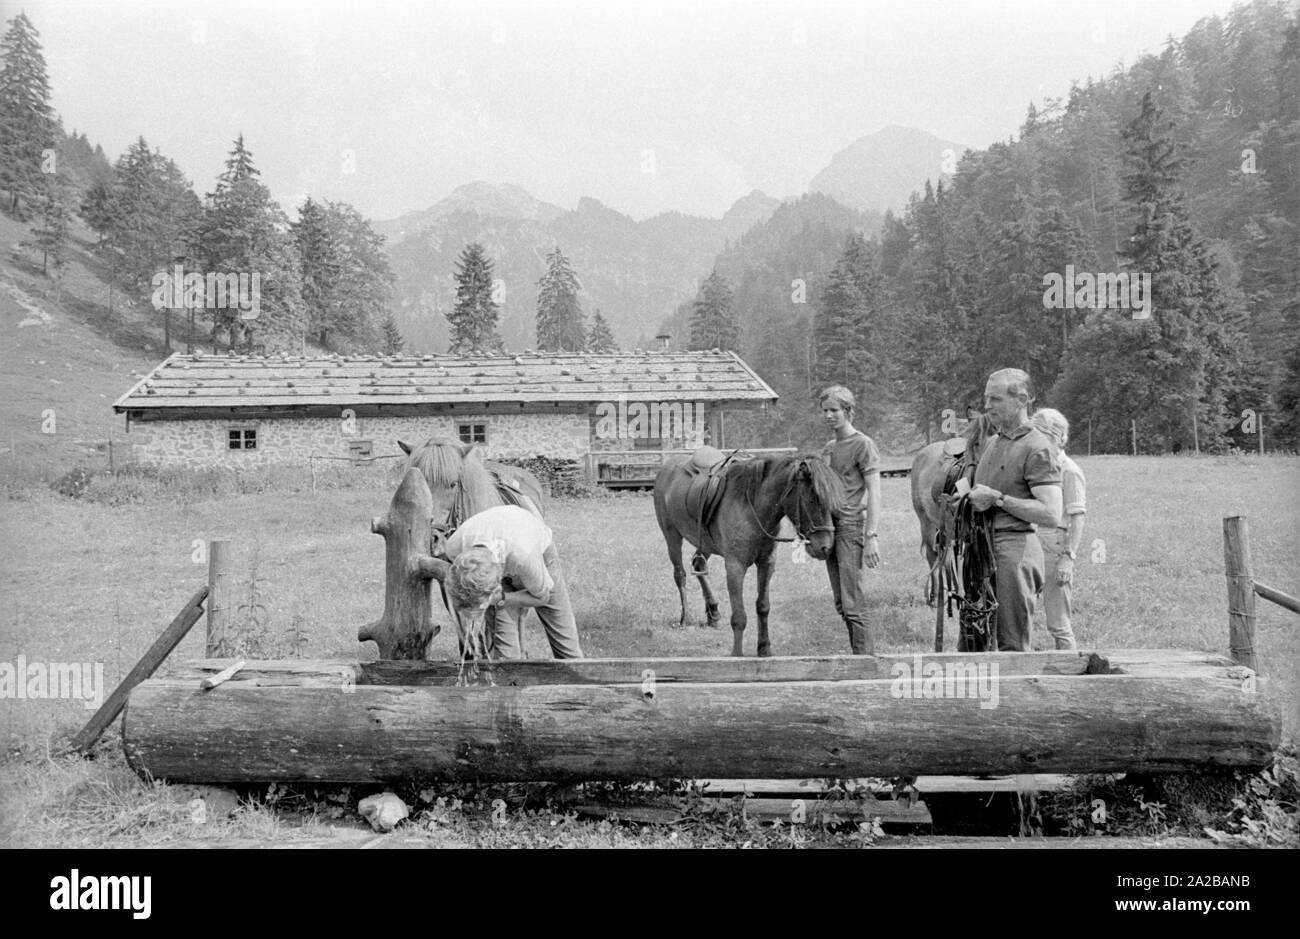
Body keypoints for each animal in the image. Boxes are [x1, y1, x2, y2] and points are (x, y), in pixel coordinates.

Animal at [650, 449, 842, 655]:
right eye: (812, 499)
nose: (826, 547)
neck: (753, 507)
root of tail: (666, 468)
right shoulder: (735, 567)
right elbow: (739, 617)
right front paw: (738, 655)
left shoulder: (767, 563)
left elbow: (763, 607)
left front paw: (764, 649)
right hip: (671, 535)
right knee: (680, 574)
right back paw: (686, 617)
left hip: (705, 543)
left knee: (698, 564)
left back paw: (713, 612)